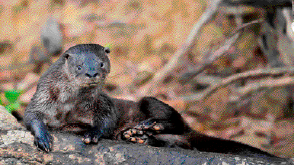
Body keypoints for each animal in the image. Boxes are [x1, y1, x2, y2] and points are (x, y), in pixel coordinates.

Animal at [23, 43, 278, 159]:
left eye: (101, 63)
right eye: (79, 66)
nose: (92, 73)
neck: (69, 104)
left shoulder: (103, 102)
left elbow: (107, 118)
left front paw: (93, 133)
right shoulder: (43, 96)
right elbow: (31, 115)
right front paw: (43, 138)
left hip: (150, 101)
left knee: (176, 123)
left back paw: (147, 127)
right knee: (178, 143)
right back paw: (138, 136)